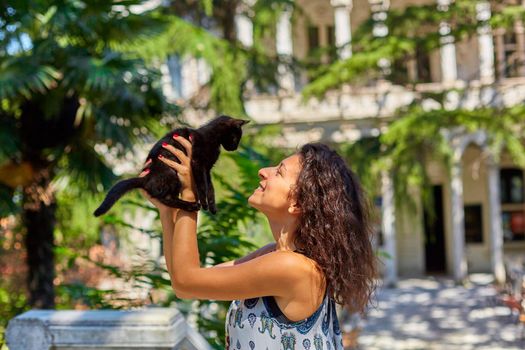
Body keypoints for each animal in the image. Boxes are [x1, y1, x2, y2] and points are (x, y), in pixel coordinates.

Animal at [93, 116, 249, 216]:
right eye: (235, 138)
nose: (235, 147)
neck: (212, 137)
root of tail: (147, 178)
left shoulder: (207, 169)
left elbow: (210, 187)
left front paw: (212, 206)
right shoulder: (198, 163)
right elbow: (202, 186)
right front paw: (204, 203)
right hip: (172, 175)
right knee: (166, 199)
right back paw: (191, 205)